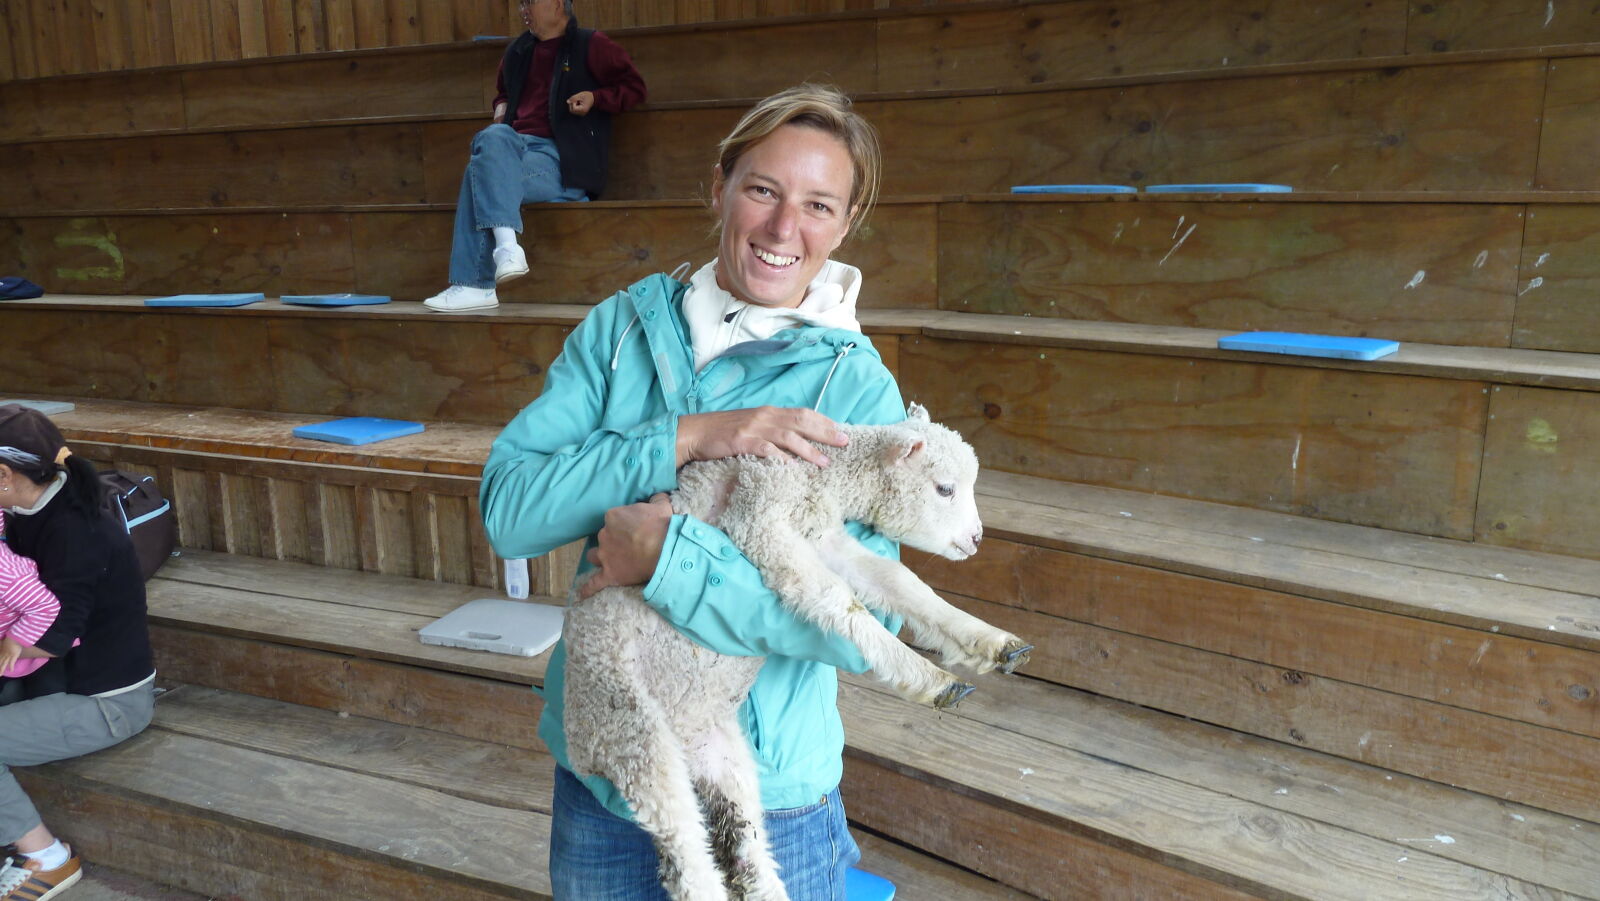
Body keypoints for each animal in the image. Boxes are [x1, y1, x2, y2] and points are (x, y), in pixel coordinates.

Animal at [562, 404, 1033, 901]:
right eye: (945, 488)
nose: (977, 538)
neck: (822, 475)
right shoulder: (760, 514)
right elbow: (836, 596)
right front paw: (930, 677)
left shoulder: (823, 534)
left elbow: (898, 581)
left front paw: (996, 644)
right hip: (623, 720)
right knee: (684, 856)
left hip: (722, 755)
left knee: (743, 844)